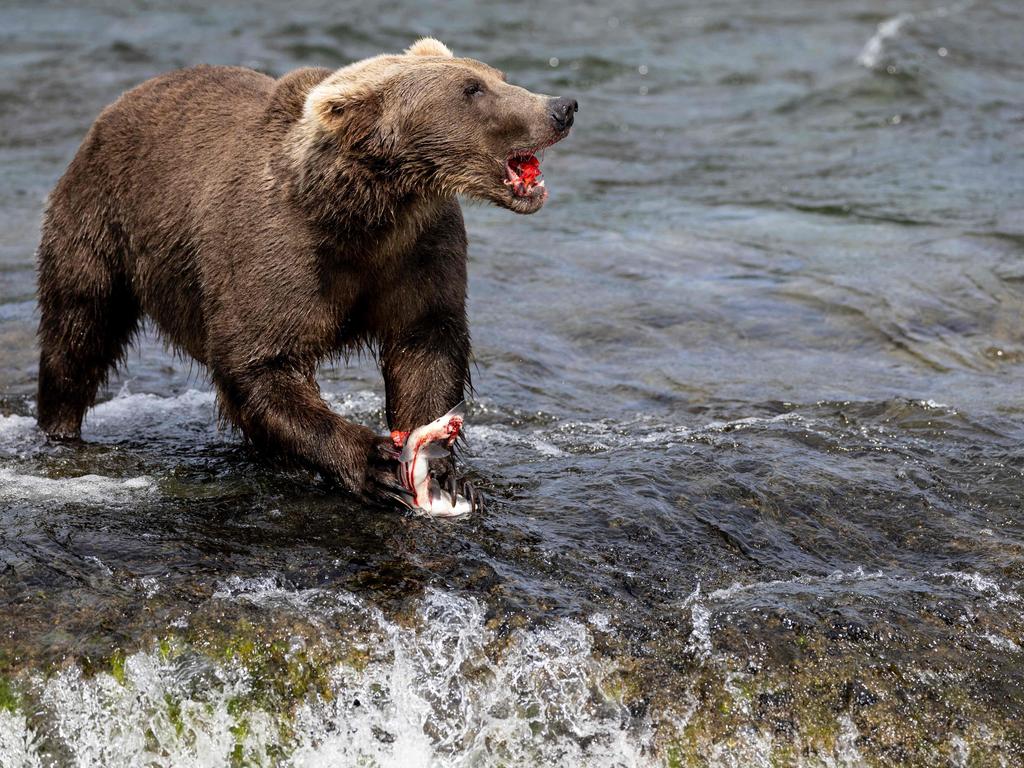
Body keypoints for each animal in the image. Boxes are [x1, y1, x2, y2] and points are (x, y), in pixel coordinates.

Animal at [36, 39, 577, 501]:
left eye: (497, 76)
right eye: (472, 89)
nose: (562, 106)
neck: (366, 214)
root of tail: (125, 100)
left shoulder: (419, 249)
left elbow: (427, 342)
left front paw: (441, 468)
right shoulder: (276, 250)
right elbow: (260, 361)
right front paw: (376, 463)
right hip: (101, 216)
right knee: (79, 326)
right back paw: (60, 428)